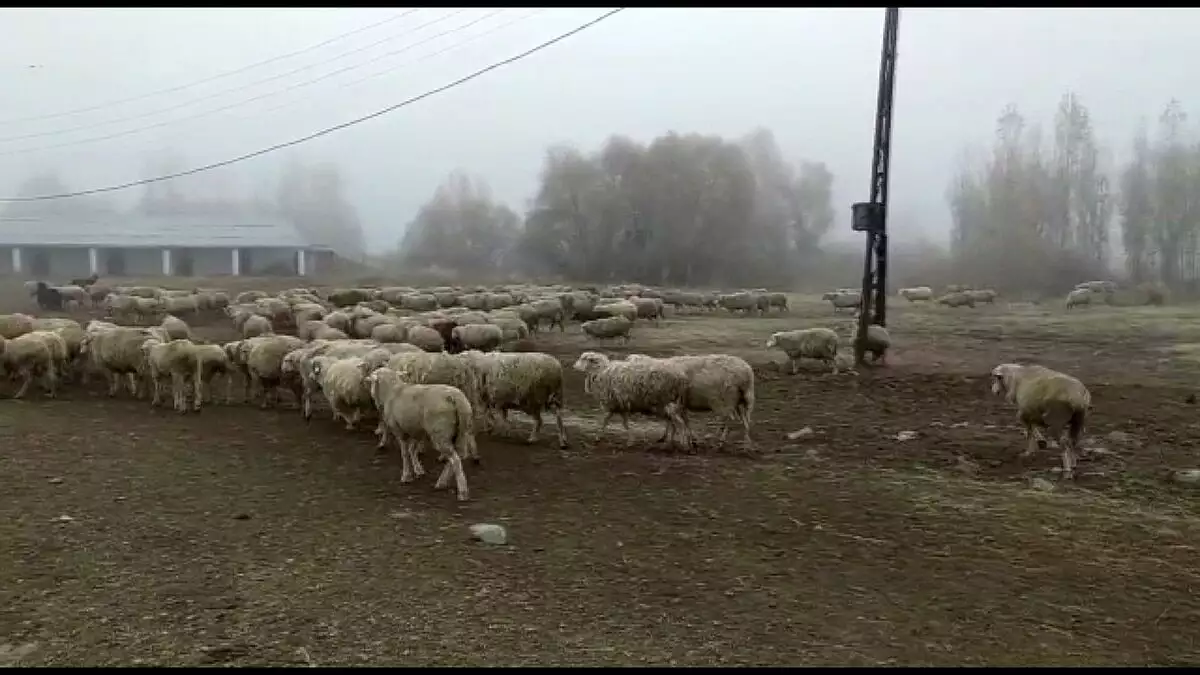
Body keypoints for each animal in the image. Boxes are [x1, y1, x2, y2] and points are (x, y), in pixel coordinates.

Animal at [364, 362, 477, 499]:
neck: (392, 392)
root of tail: (454, 398)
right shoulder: (417, 431)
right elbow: (412, 450)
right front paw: (418, 470)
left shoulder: (399, 430)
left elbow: (405, 453)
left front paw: (406, 476)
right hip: (462, 430)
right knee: (458, 455)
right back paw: (441, 482)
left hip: (439, 433)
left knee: (455, 459)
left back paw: (462, 492)